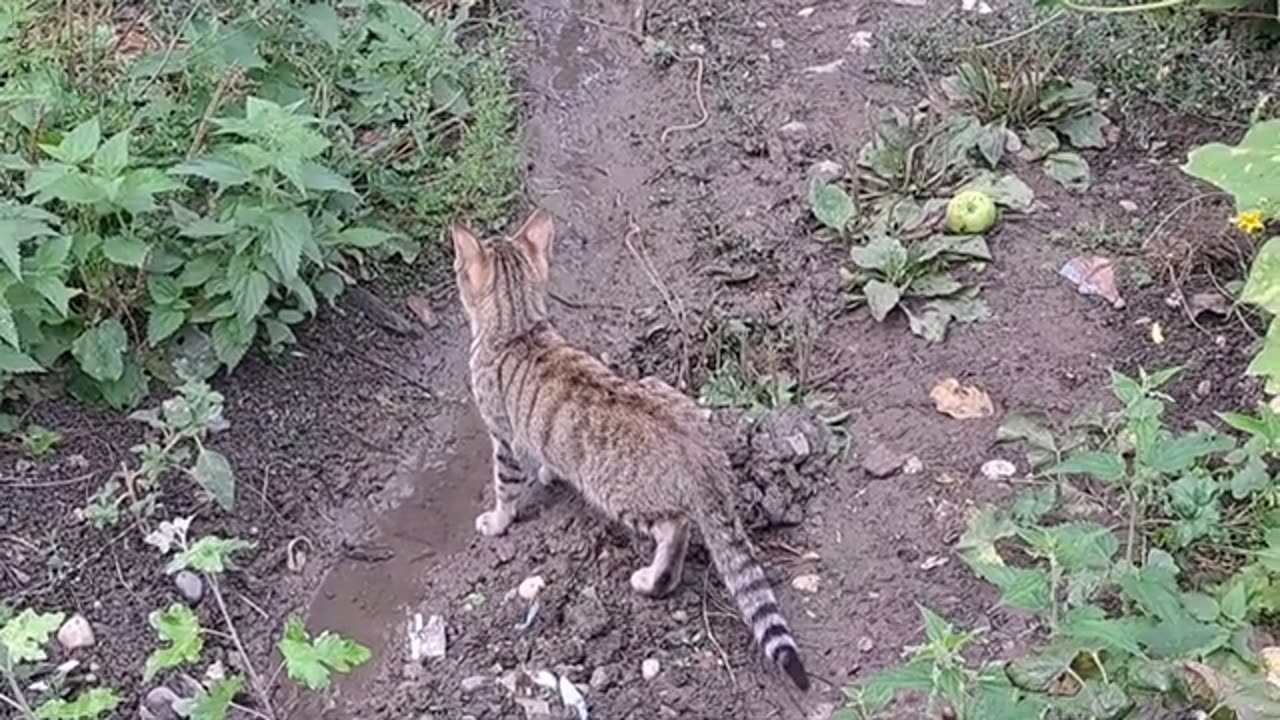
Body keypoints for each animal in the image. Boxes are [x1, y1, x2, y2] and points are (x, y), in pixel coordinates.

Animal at [455, 208, 803, 691]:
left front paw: (497, 520)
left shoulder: (502, 437)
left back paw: (652, 579)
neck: (518, 324)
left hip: (618, 494)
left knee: (675, 528)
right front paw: (547, 473)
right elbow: (543, 456)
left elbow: (506, 487)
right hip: (660, 388)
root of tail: (702, 455)